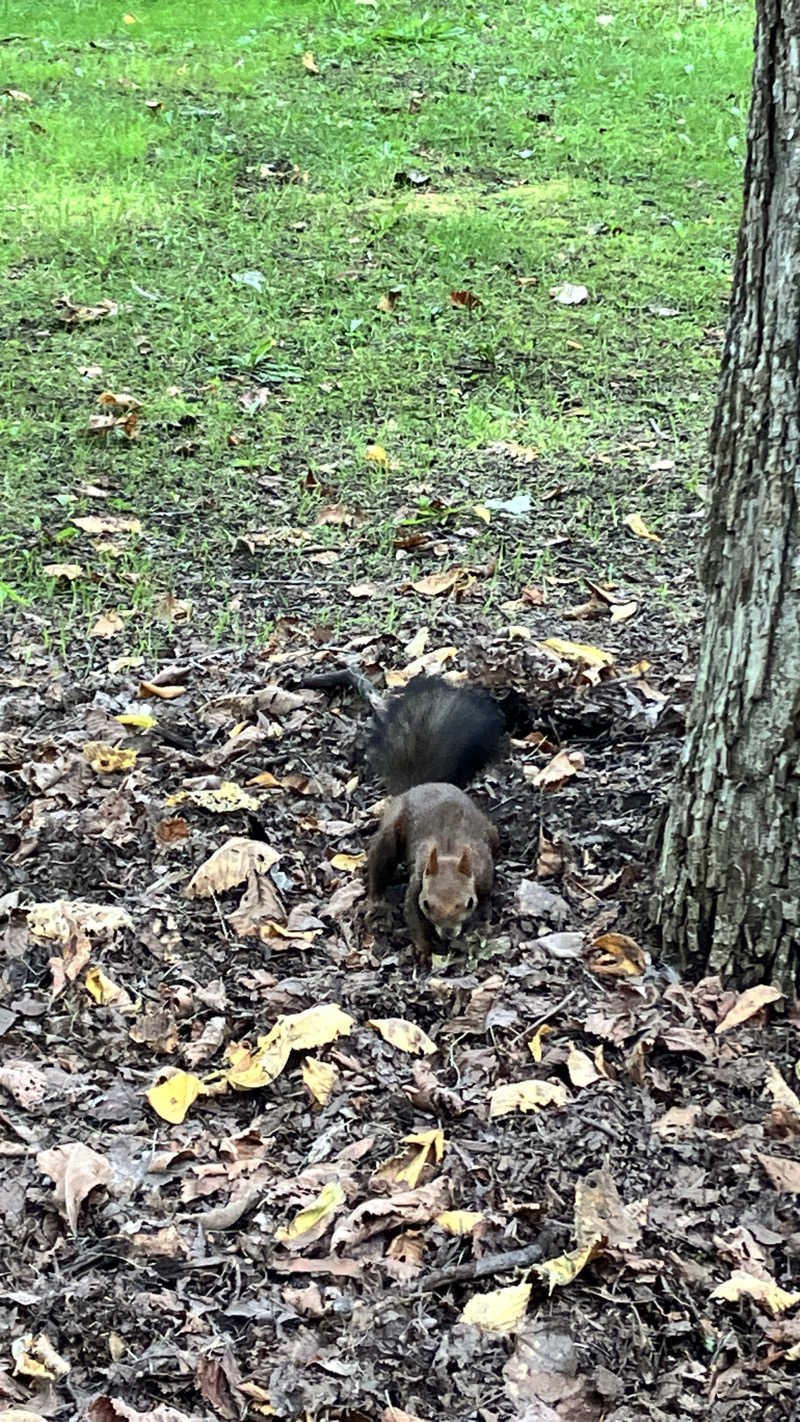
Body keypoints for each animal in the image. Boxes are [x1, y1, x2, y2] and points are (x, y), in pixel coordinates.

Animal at [366, 674, 503, 961]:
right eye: (427, 904)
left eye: (468, 903)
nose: (448, 932)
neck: (449, 853)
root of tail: (423, 785)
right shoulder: (418, 882)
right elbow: (411, 914)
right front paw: (424, 950)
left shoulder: (484, 874)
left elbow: (487, 901)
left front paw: (482, 926)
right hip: (390, 832)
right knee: (379, 862)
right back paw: (376, 901)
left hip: (492, 832)